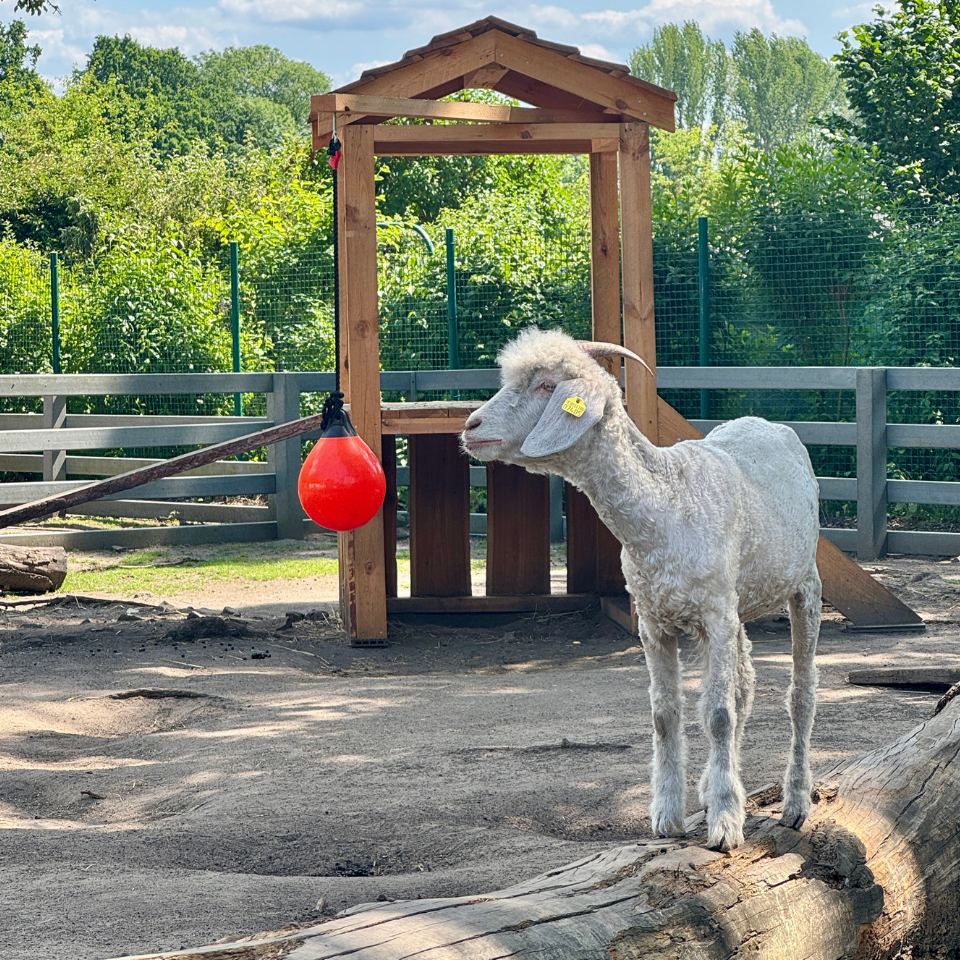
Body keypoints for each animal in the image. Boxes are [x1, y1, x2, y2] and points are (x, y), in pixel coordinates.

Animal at [462, 327, 821, 852]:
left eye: (547, 386)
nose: (471, 426)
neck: (667, 504)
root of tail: (768, 424)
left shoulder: (714, 615)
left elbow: (717, 714)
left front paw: (725, 825)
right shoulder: (655, 621)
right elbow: (665, 715)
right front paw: (669, 817)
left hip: (803, 586)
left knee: (799, 696)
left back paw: (794, 802)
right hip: (738, 604)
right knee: (745, 686)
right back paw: (718, 786)